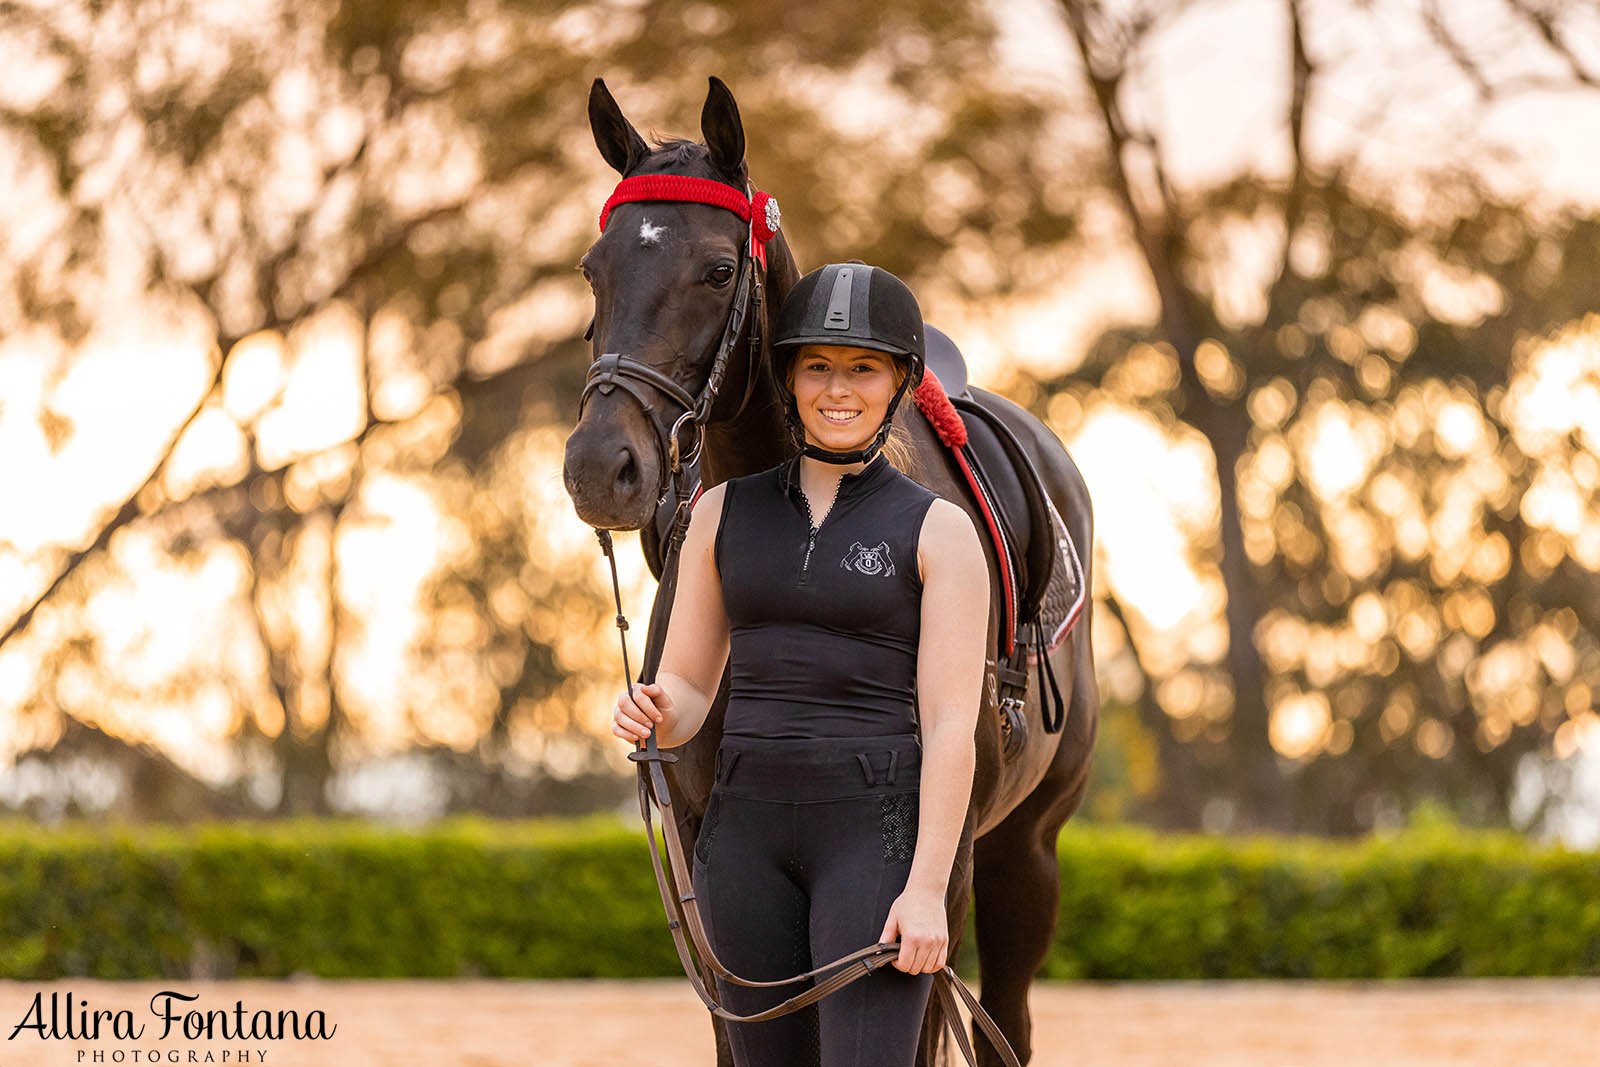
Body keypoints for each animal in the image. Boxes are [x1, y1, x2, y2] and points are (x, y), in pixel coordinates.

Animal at [563, 77, 1100, 1067]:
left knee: (1004, 1016)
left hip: (1024, 854)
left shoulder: (937, 872)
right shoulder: (708, 869)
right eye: (594, 269)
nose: (598, 467)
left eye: (719, 271)